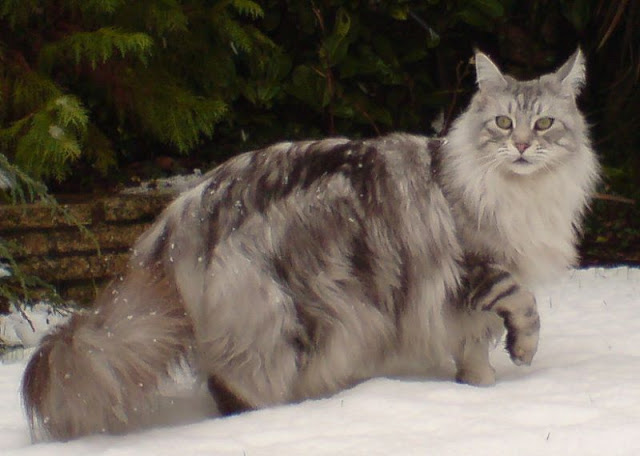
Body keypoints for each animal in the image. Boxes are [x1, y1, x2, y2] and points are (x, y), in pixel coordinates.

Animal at [21, 48, 600, 440]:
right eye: (503, 123)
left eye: (543, 123)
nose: (521, 146)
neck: (514, 191)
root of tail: (184, 208)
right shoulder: (476, 269)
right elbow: (520, 306)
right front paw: (518, 356)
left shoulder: (463, 304)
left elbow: (472, 350)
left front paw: (478, 390)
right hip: (297, 308)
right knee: (244, 384)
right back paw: (291, 417)